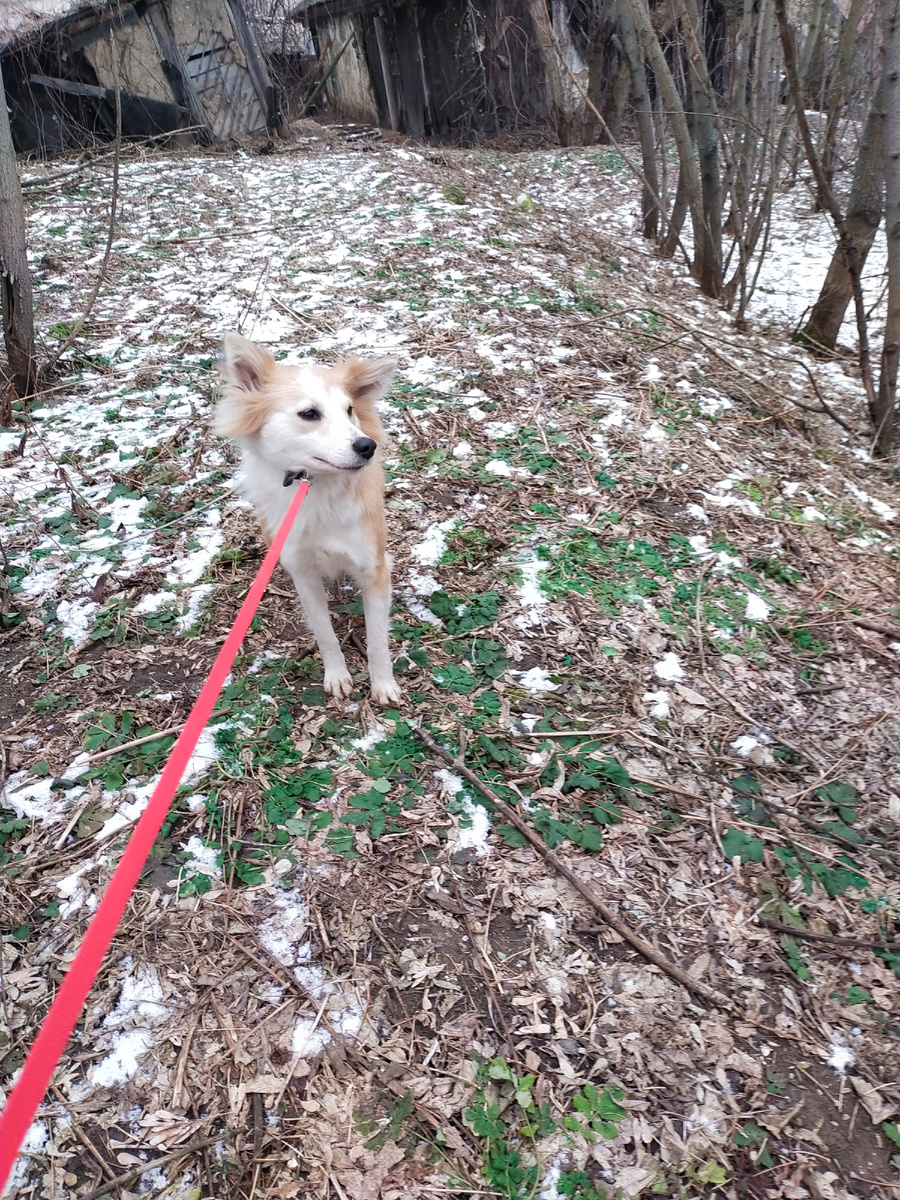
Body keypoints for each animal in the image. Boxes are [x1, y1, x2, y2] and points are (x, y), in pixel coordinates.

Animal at [214, 333, 400, 705]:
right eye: (309, 413)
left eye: (349, 410)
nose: (366, 446)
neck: (314, 486)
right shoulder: (302, 572)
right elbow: (325, 634)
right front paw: (338, 676)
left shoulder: (374, 568)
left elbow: (377, 640)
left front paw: (383, 683)